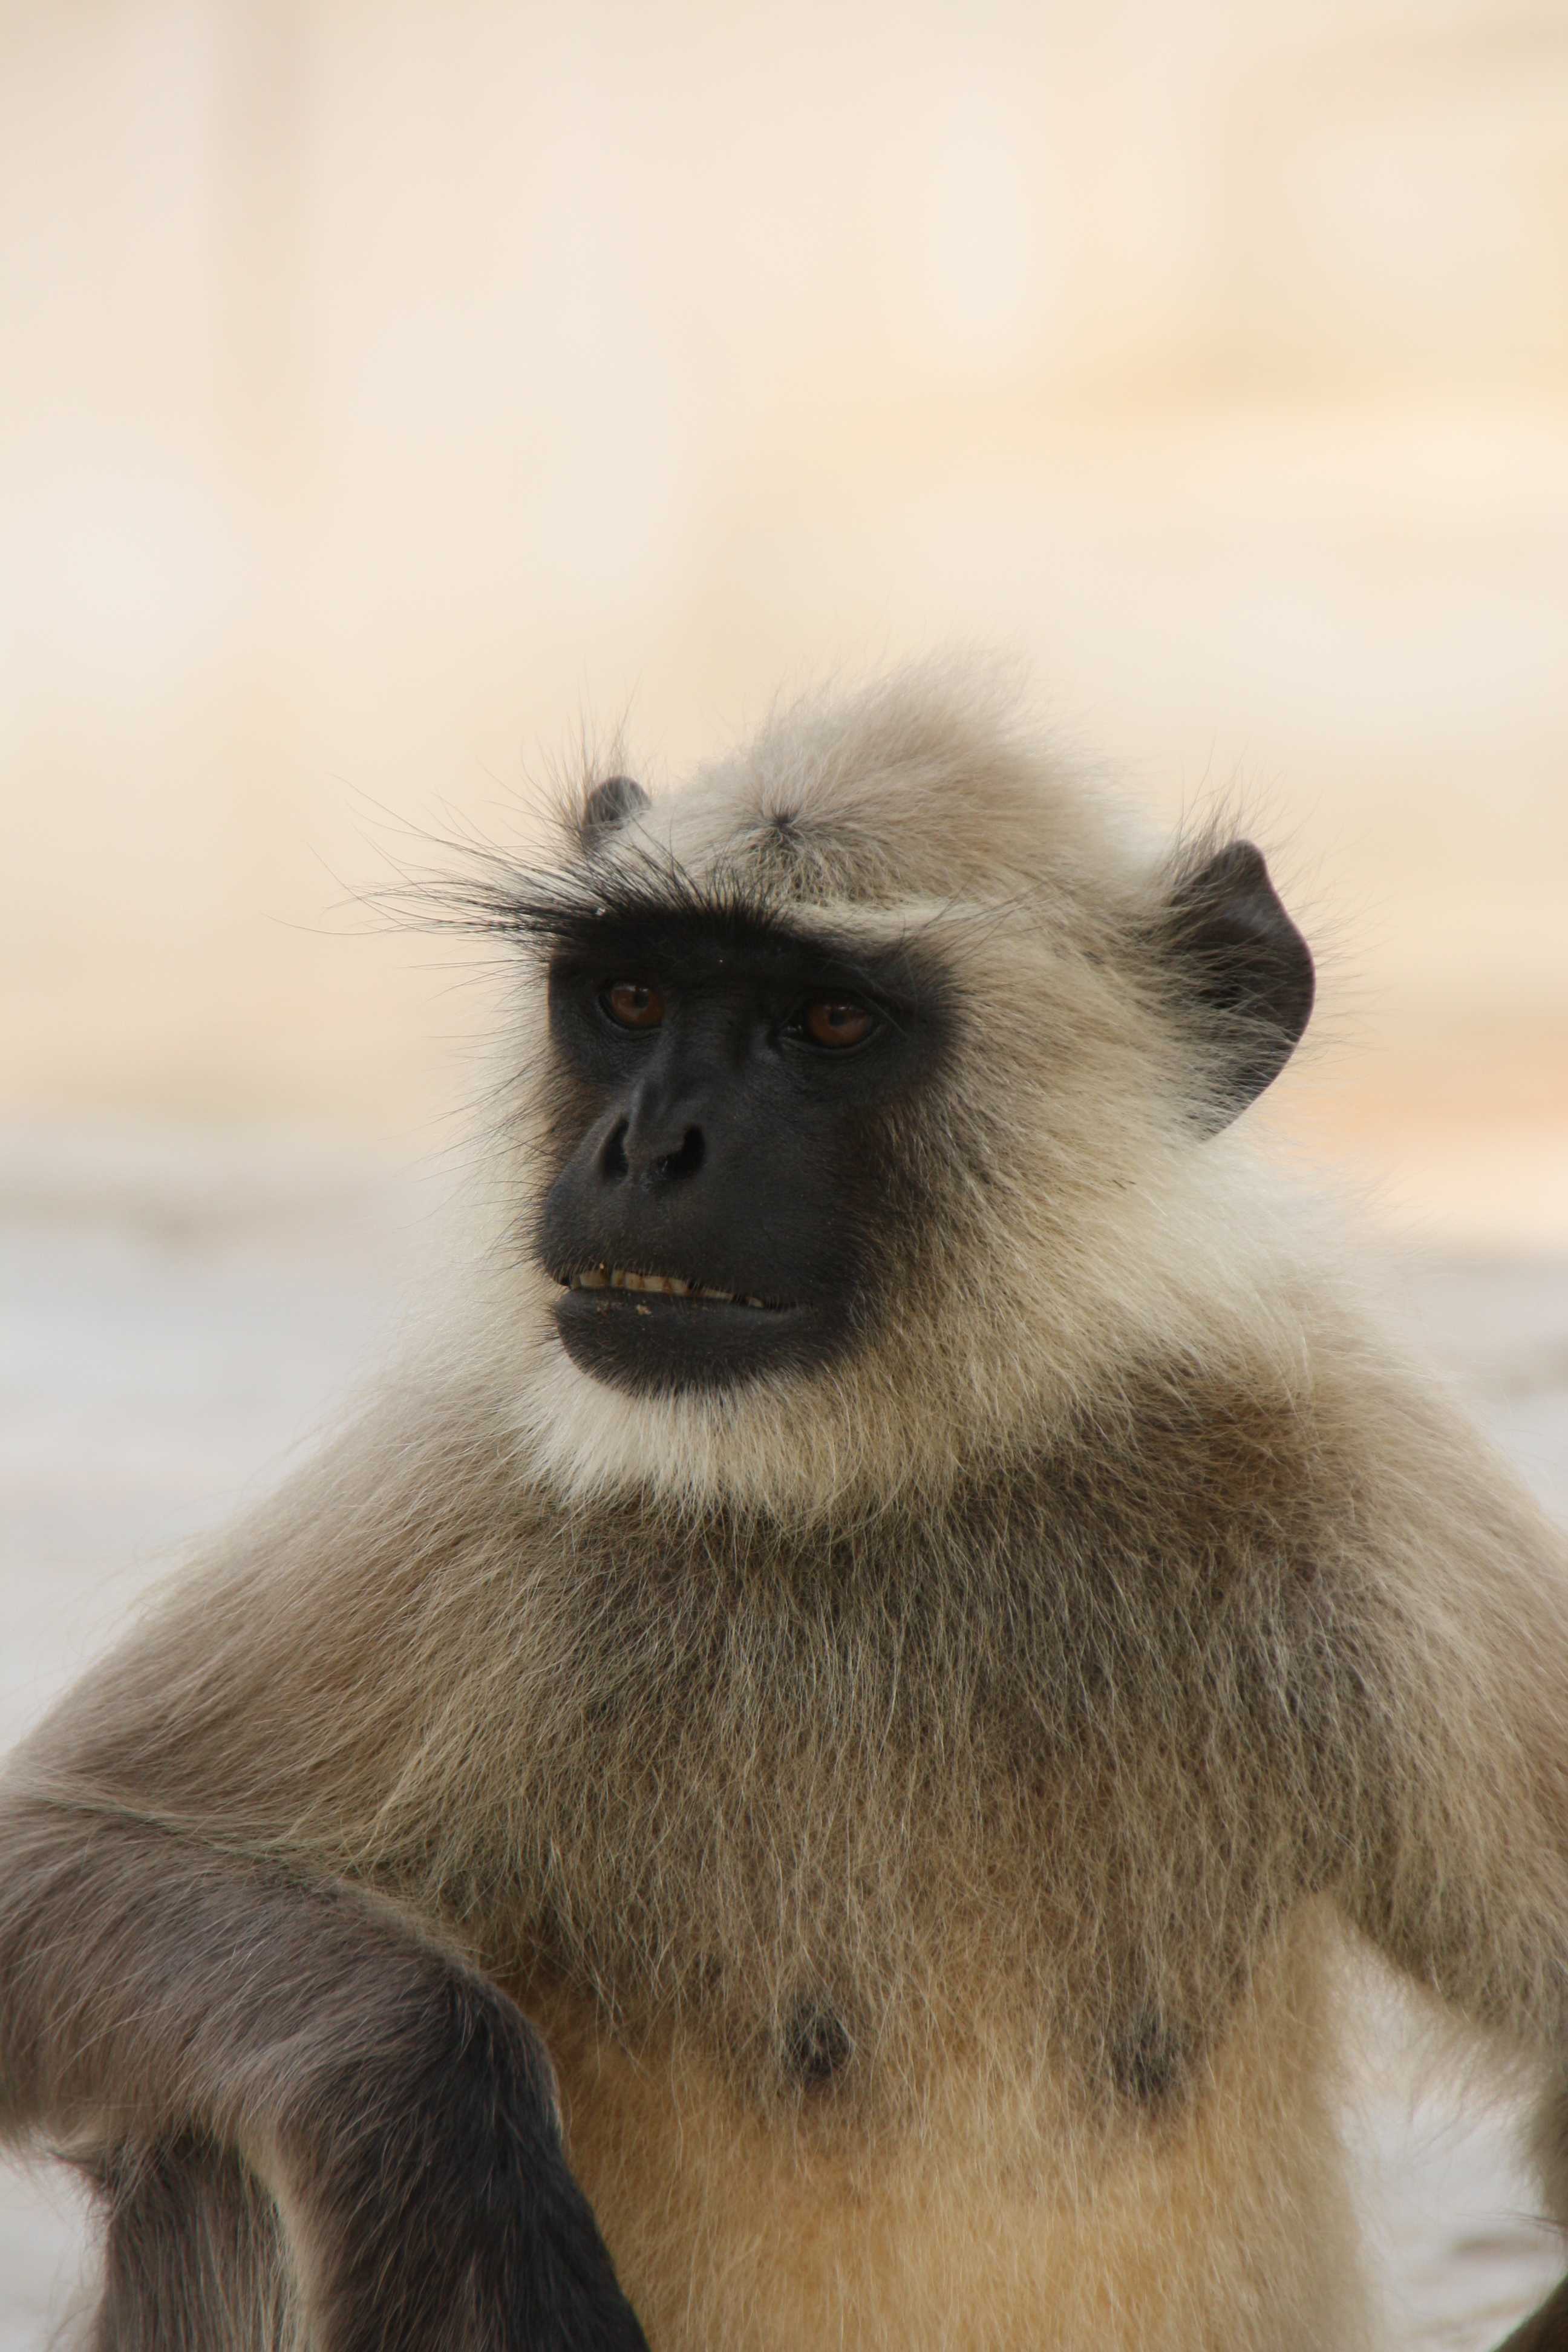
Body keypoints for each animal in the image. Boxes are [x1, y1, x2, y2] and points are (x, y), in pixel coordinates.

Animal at [2, 663, 1567, 2352]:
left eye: (826, 1021)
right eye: (631, 999)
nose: (645, 1146)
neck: (904, 1472)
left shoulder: (1367, 1489)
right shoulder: (480, 1488)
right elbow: (58, 1850)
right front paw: (447, 2136)